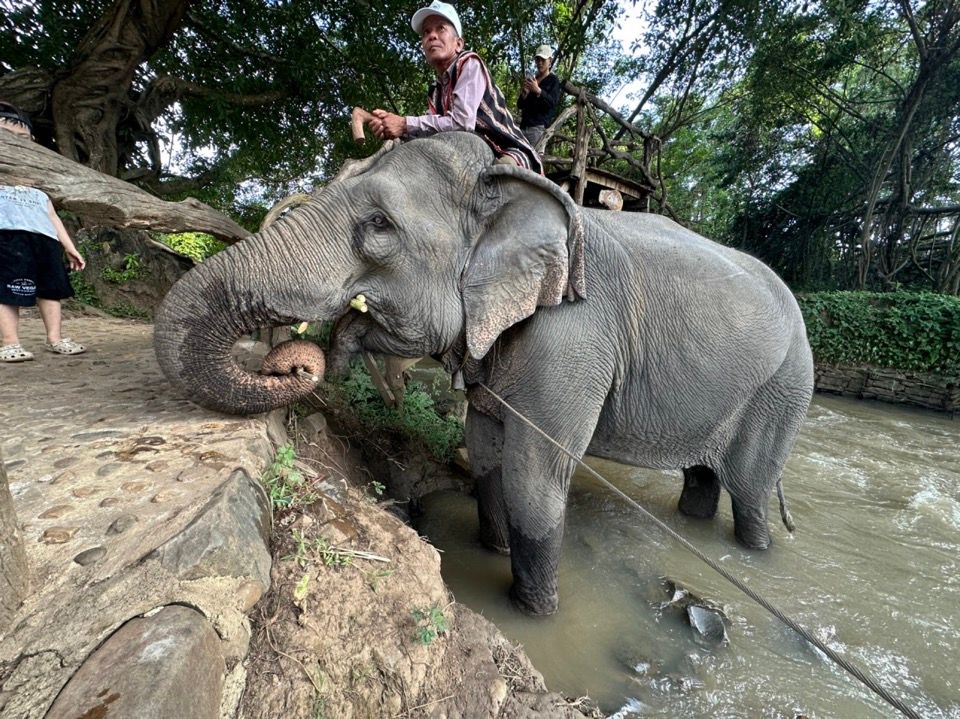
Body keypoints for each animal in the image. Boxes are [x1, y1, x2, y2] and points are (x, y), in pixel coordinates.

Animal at [154, 134, 812, 620]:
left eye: (380, 224)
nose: (292, 358)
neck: (505, 185)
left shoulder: (573, 340)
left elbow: (532, 475)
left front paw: (534, 613)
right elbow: (486, 449)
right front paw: (490, 548)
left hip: (784, 389)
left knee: (750, 489)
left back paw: (757, 553)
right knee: (705, 478)